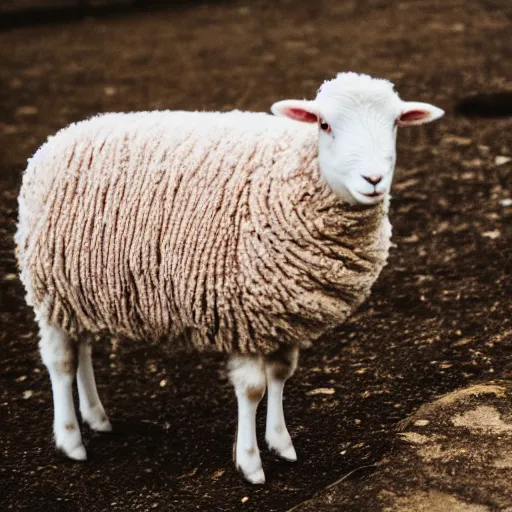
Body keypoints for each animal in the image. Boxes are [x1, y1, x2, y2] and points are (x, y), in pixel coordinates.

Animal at [16, 72, 444, 484]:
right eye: (324, 124)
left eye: (395, 123)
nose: (373, 179)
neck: (291, 173)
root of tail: (59, 137)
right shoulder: (243, 314)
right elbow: (253, 388)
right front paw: (250, 463)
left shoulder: (283, 311)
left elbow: (280, 375)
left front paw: (281, 442)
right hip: (49, 286)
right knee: (61, 360)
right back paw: (71, 439)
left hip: (77, 290)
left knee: (83, 347)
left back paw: (97, 416)